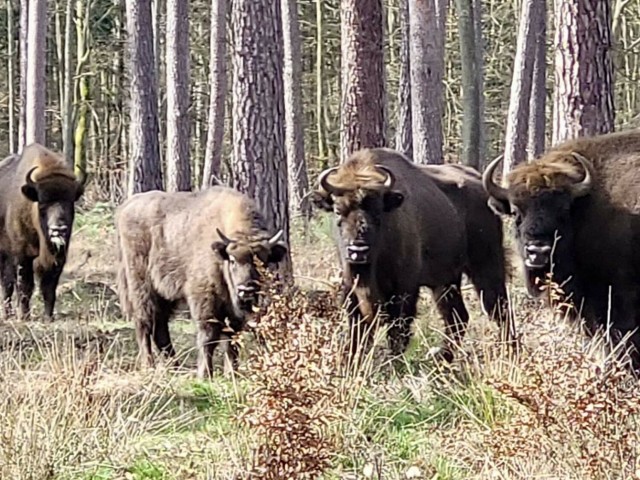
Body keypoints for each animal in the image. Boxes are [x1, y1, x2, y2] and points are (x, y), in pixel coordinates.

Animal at [0, 142, 87, 322]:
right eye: (42, 203)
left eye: (69, 203)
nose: (58, 229)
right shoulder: (21, 255)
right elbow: (24, 285)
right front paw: (24, 316)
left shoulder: (57, 256)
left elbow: (49, 285)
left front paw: (48, 316)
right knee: (6, 282)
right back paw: (7, 314)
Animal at [115, 187, 288, 378]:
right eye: (233, 260)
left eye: (262, 261)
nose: (246, 289)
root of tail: (126, 207)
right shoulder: (204, 300)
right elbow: (208, 336)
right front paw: (205, 373)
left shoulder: (232, 311)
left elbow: (231, 339)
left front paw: (231, 373)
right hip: (141, 287)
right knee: (144, 323)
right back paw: (149, 366)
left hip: (164, 295)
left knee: (160, 327)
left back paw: (174, 367)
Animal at [312, 148, 512, 362]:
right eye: (337, 210)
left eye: (378, 212)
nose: (358, 251)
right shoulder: (352, 289)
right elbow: (358, 333)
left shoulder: (404, 290)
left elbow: (397, 331)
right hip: (446, 281)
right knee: (458, 316)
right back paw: (443, 358)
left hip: (486, 266)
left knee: (499, 310)